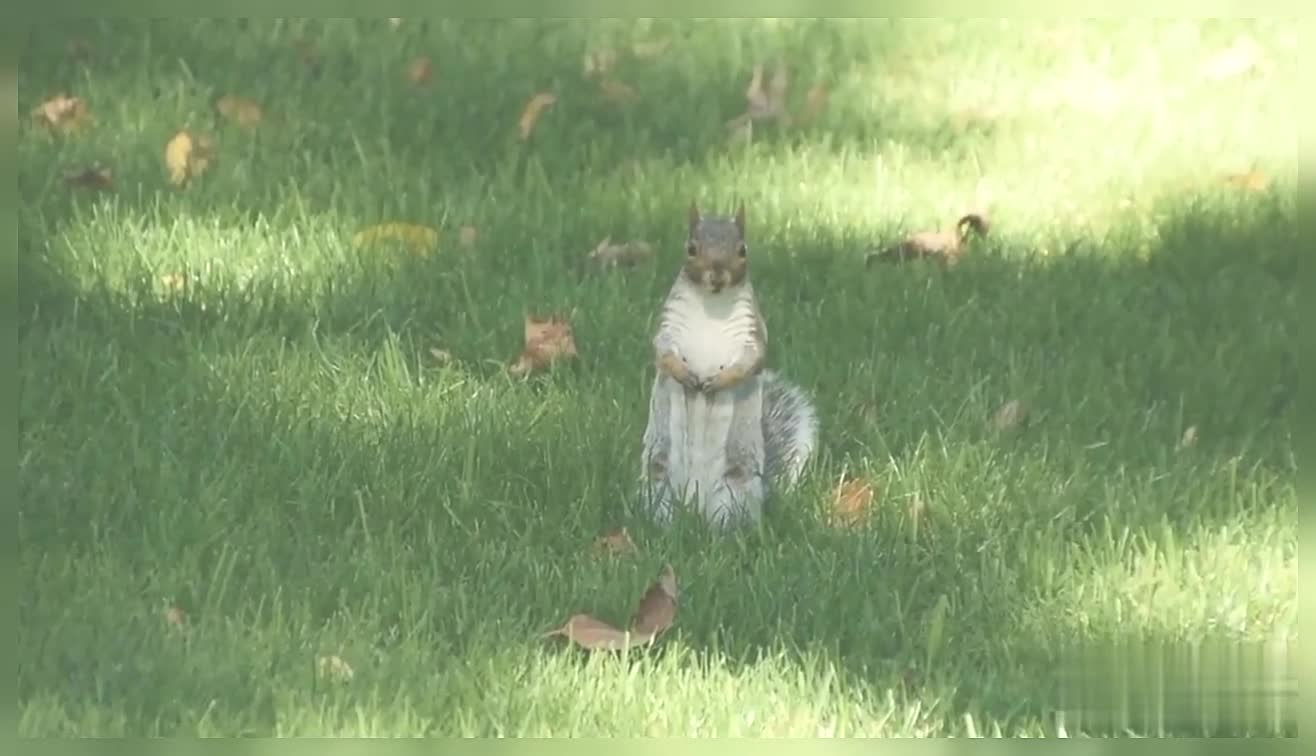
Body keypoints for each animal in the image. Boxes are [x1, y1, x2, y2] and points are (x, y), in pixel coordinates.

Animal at [642, 201, 815, 526]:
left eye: (743, 249)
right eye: (691, 248)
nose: (718, 274)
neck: (712, 304)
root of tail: (694, 505)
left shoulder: (753, 333)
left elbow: (752, 361)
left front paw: (718, 381)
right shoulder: (668, 327)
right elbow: (662, 352)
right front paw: (684, 374)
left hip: (736, 488)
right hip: (658, 479)